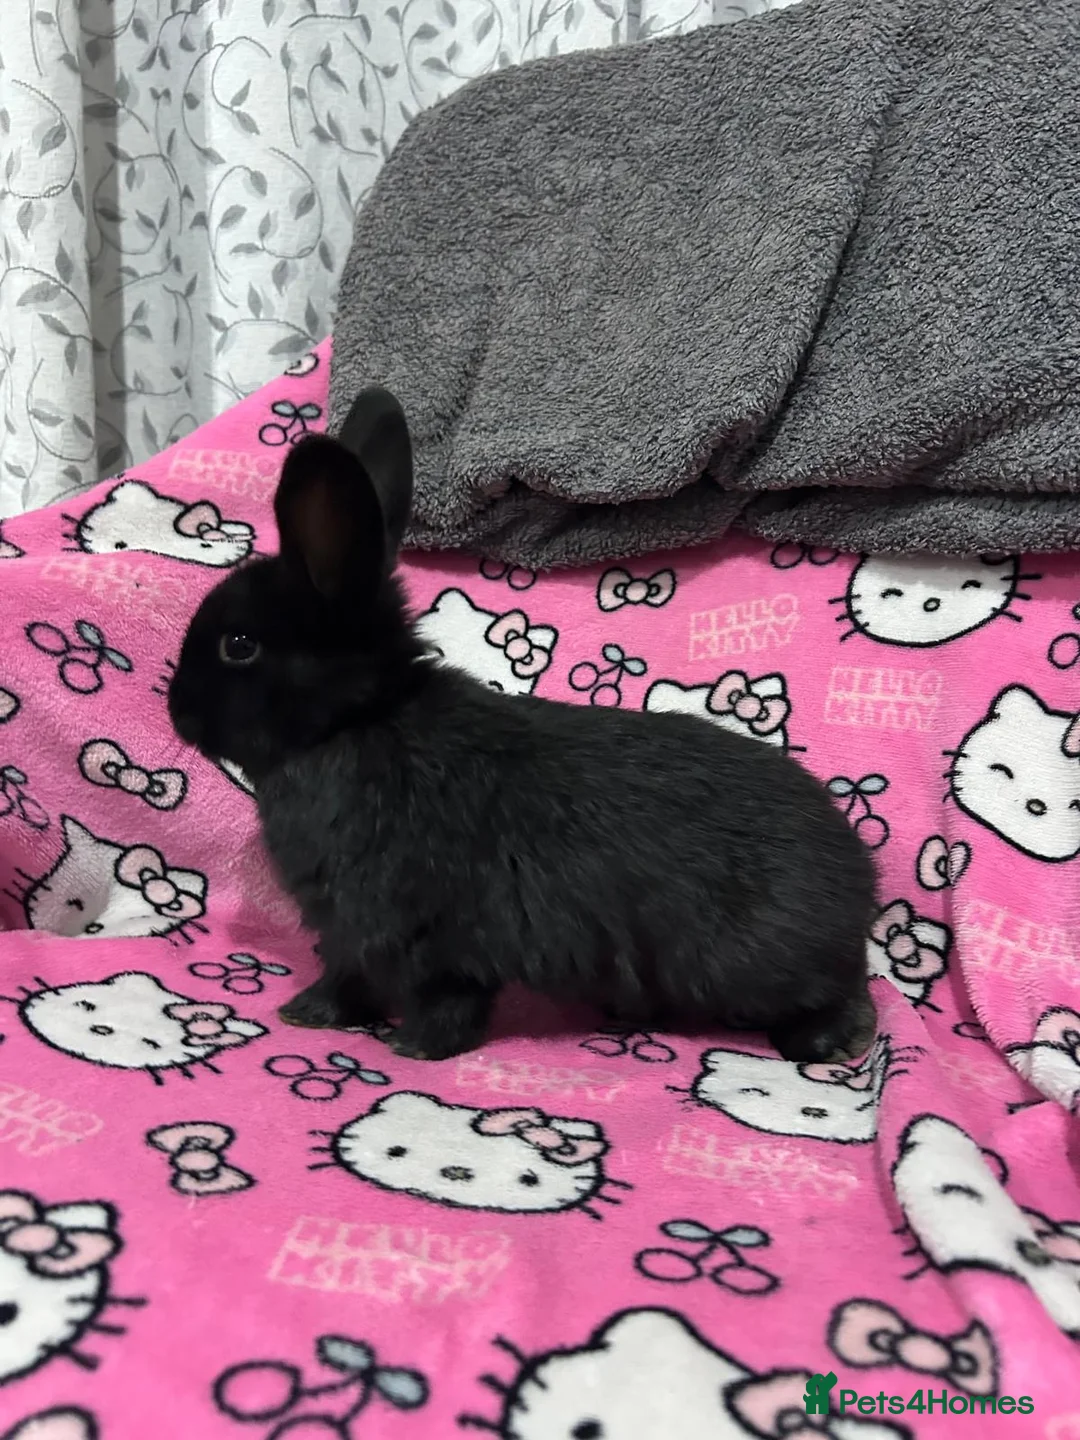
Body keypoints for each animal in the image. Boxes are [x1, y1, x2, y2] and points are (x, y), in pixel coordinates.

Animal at [168, 387, 879, 1064]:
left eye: (238, 645)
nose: (176, 712)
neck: (357, 720)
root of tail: (862, 887)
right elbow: (362, 980)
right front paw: (314, 1016)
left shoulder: (408, 930)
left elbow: (423, 993)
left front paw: (400, 1042)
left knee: (838, 996)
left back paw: (833, 1042)